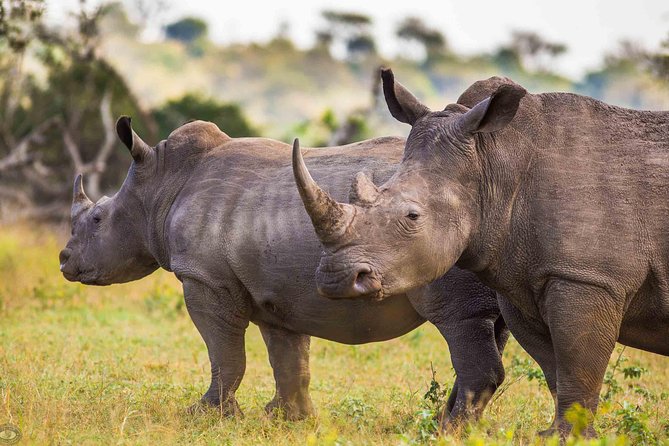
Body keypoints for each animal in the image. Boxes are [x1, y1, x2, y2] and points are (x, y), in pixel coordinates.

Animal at [59, 117, 508, 428]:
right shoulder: (277, 291)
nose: (64, 260)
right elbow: (289, 357)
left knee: (459, 319)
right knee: (493, 324)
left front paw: (205, 416)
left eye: (98, 219)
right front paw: (288, 418)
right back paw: (447, 424)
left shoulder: (205, 278)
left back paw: (449, 430)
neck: (160, 186)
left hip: (441, 233)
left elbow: (225, 353)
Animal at [293, 68, 669, 437]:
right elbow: (556, 367)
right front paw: (552, 436)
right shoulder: (524, 278)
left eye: (412, 216)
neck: (494, 161)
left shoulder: (588, 278)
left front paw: (571, 438)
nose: (335, 279)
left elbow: (577, 363)